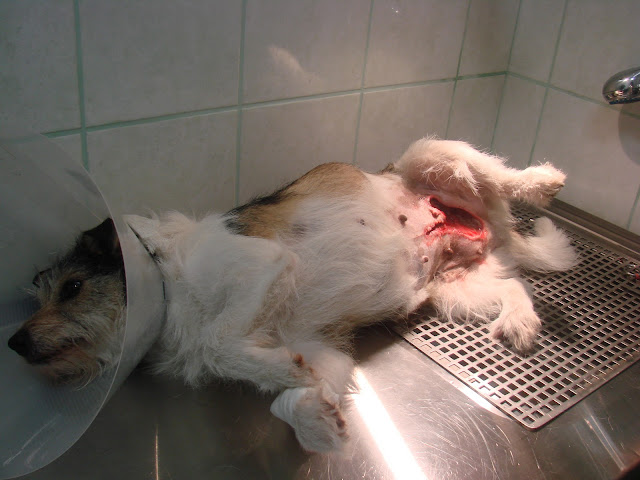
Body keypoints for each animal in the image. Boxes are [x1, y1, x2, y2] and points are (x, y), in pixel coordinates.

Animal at [8, 138, 577, 453]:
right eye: (39, 297)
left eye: (73, 287)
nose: (14, 343)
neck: (167, 290)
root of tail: (491, 225)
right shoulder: (322, 352)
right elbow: (295, 392)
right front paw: (318, 424)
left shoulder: (266, 265)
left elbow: (218, 342)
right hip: (456, 286)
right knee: (514, 285)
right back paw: (521, 322)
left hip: (433, 156)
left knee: (495, 173)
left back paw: (541, 180)